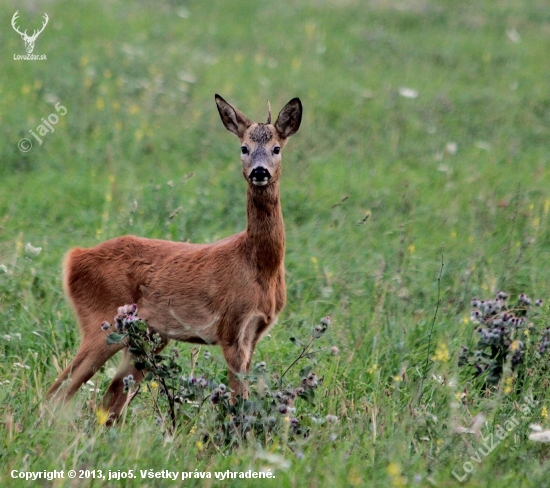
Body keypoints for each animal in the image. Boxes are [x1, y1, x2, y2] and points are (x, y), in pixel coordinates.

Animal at [47, 94, 304, 424]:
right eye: (244, 147)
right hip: (100, 321)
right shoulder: (231, 327)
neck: (259, 265)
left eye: (276, 148)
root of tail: (74, 258)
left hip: (145, 338)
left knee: (108, 403)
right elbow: (238, 402)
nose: (260, 172)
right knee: (58, 392)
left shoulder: (254, 333)